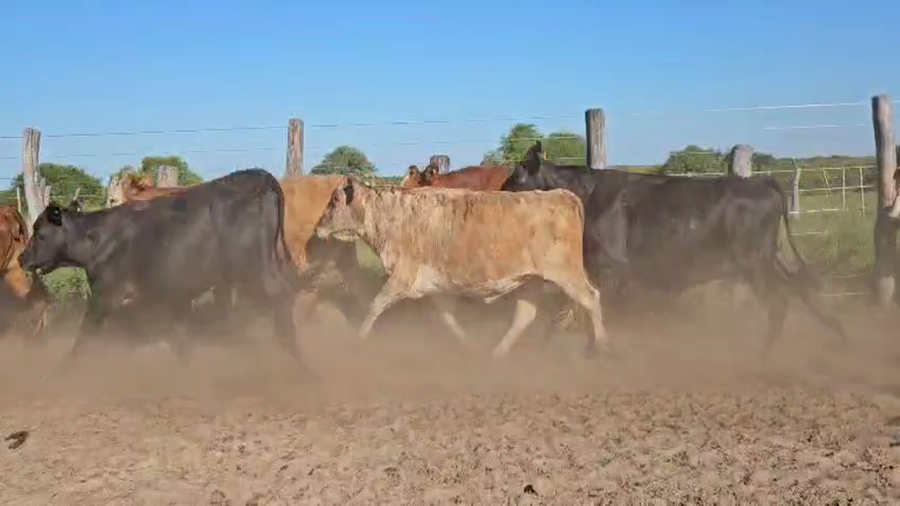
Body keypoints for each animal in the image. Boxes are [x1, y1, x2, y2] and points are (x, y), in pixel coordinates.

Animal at [18, 168, 312, 375]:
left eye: (40, 233)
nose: (22, 258)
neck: (99, 238)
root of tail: (262, 176)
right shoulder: (169, 297)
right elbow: (179, 340)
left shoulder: (105, 296)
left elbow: (84, 336)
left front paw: (62, 370)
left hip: (254, 268)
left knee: (280, 301)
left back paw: (304, 368)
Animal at [314, 176, 611, 358]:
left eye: (335, 201)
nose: (317, 229)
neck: (392, 215)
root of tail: (563, 195)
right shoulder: (435, 287)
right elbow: (447, 317)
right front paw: (468, 344)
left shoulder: (402, 278)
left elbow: (374, 306)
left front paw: (358, 342)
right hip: (532, 279)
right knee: (525, 315)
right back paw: (497, 353)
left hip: (566, 273)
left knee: (591, 298)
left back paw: (601, 346)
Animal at [501, 141, 848, 350]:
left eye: (516, 177)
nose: (497, 195)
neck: (588, 196)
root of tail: (760, 181)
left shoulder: (608, 268)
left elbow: (585, 310)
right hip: (768, 258)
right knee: (800, 288)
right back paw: (840, 334)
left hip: (755, 262)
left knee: (779, 304)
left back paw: (765, 356)